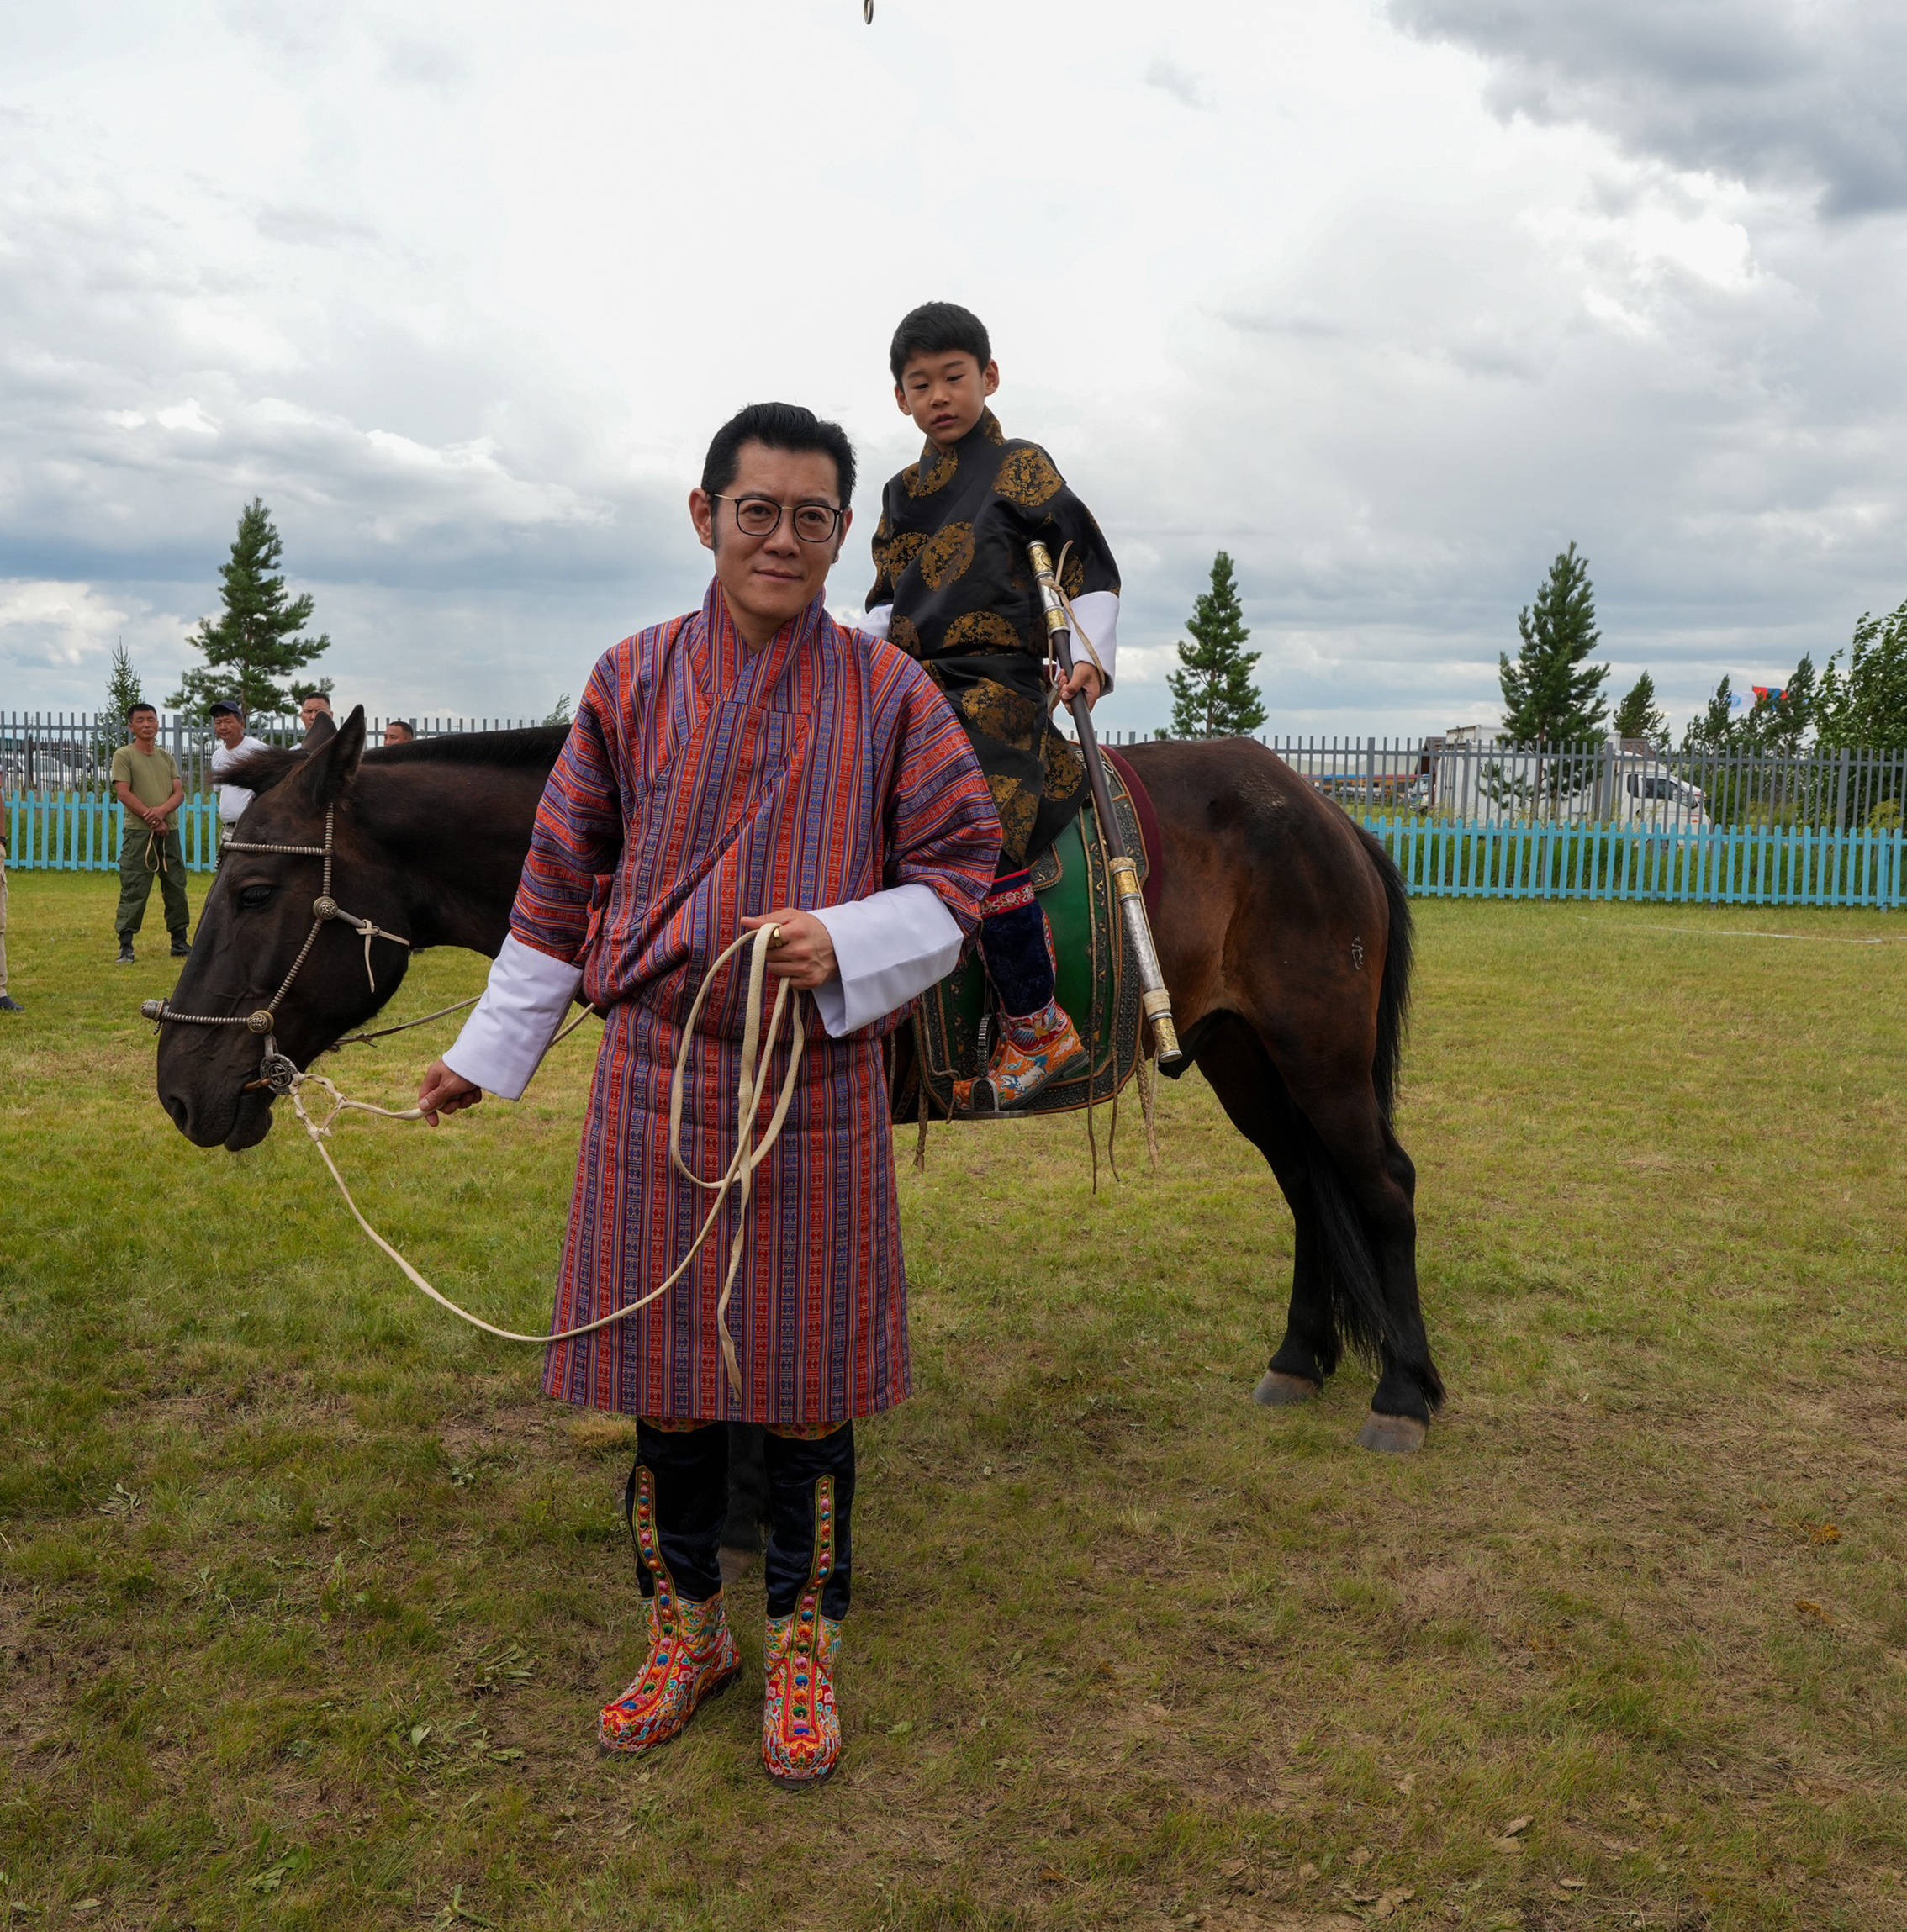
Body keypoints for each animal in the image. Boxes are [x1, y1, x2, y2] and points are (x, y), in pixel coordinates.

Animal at [160, 710, 1445, 1453]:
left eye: (257, 892)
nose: (179, 1081)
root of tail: (1325, 811)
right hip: (1243, 1052)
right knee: (1307, 1189)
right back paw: (1299, 1361)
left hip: (1318, 1052)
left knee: (1379, 1185)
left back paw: (1405, 1393)